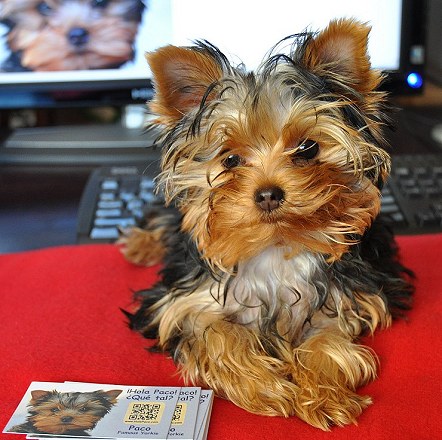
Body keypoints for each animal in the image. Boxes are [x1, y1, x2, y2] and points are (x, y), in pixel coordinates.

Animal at [119, 18, 412, 428]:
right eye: (229, 160)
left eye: (307, 148)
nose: (268, 193)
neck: (277, 243)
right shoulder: (183, 301)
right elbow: (219, 335)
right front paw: (267, 388)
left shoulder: (346, 298)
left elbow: (328, 342)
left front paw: (325, 396)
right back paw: (140, 244)